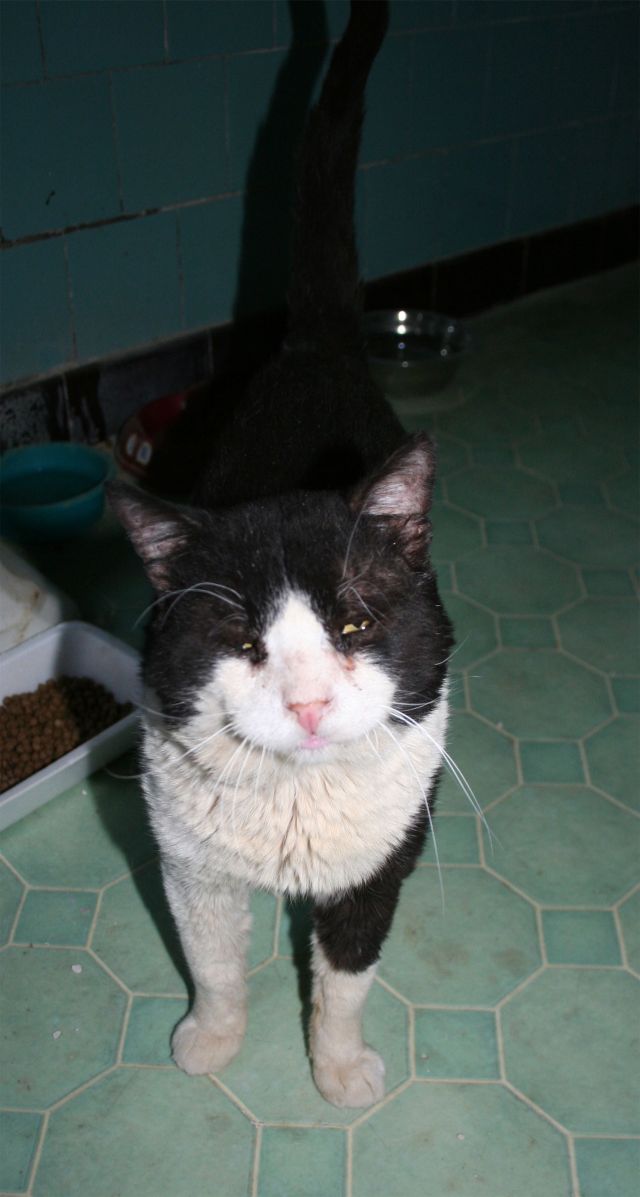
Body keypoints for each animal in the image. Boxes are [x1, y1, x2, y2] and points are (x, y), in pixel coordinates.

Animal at [110, 2, 452, 1110]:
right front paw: (209, 1043)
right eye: (241, 640)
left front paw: (338, 1071)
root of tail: (313, 343)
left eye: (354, 620)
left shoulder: (379, 861)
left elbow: (344, 975)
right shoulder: (188, 862)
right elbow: (213, 960)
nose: (305, 706)